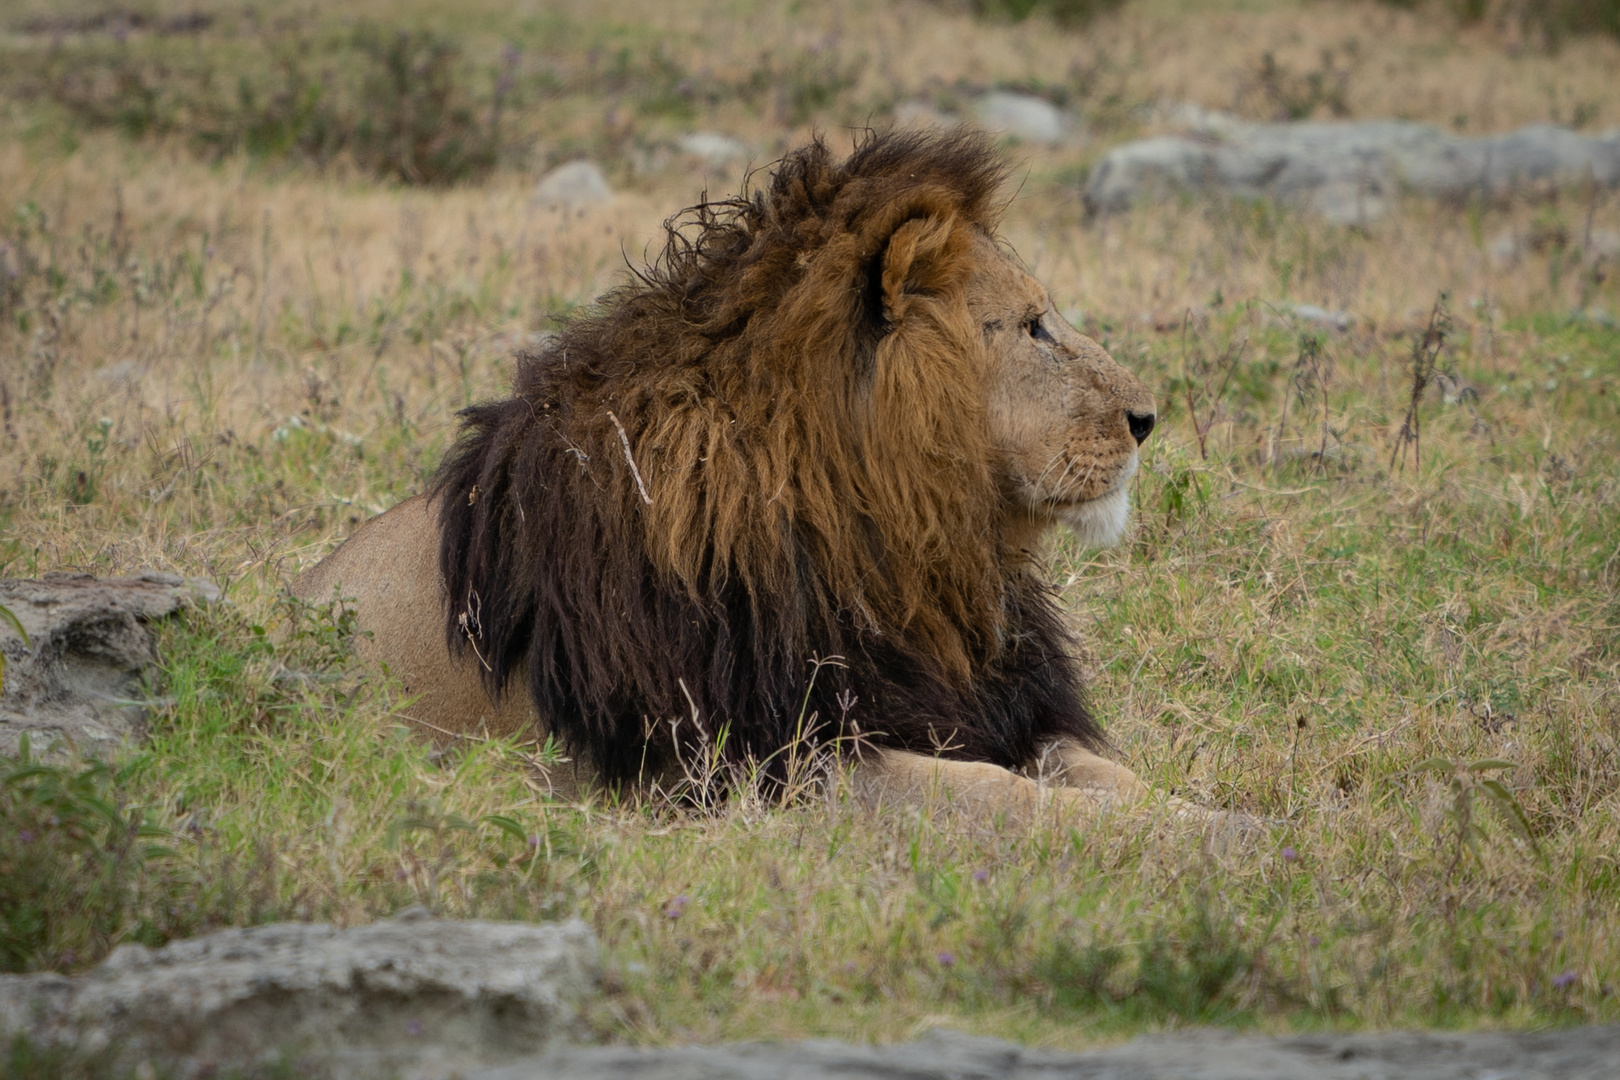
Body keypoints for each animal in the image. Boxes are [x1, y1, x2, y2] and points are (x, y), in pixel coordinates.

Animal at [298, 128, 1172, 819]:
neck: (906, 551)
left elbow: (1115, 778)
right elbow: (1001, 795)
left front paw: (1197, 824)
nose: (1147, 417)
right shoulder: (764, 760)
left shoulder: (988, 703)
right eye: (1032, 326)